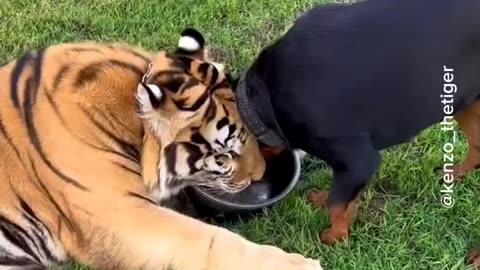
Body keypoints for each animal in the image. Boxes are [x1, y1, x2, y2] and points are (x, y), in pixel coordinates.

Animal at [234, 0, 480, 246]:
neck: (264, 98)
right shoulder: (351, 171)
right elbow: (341, 198)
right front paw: (329, 204)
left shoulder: (359, 161)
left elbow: (336, 205)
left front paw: (335, 237)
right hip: (464, 102)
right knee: (476, 147)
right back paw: (453, 173)